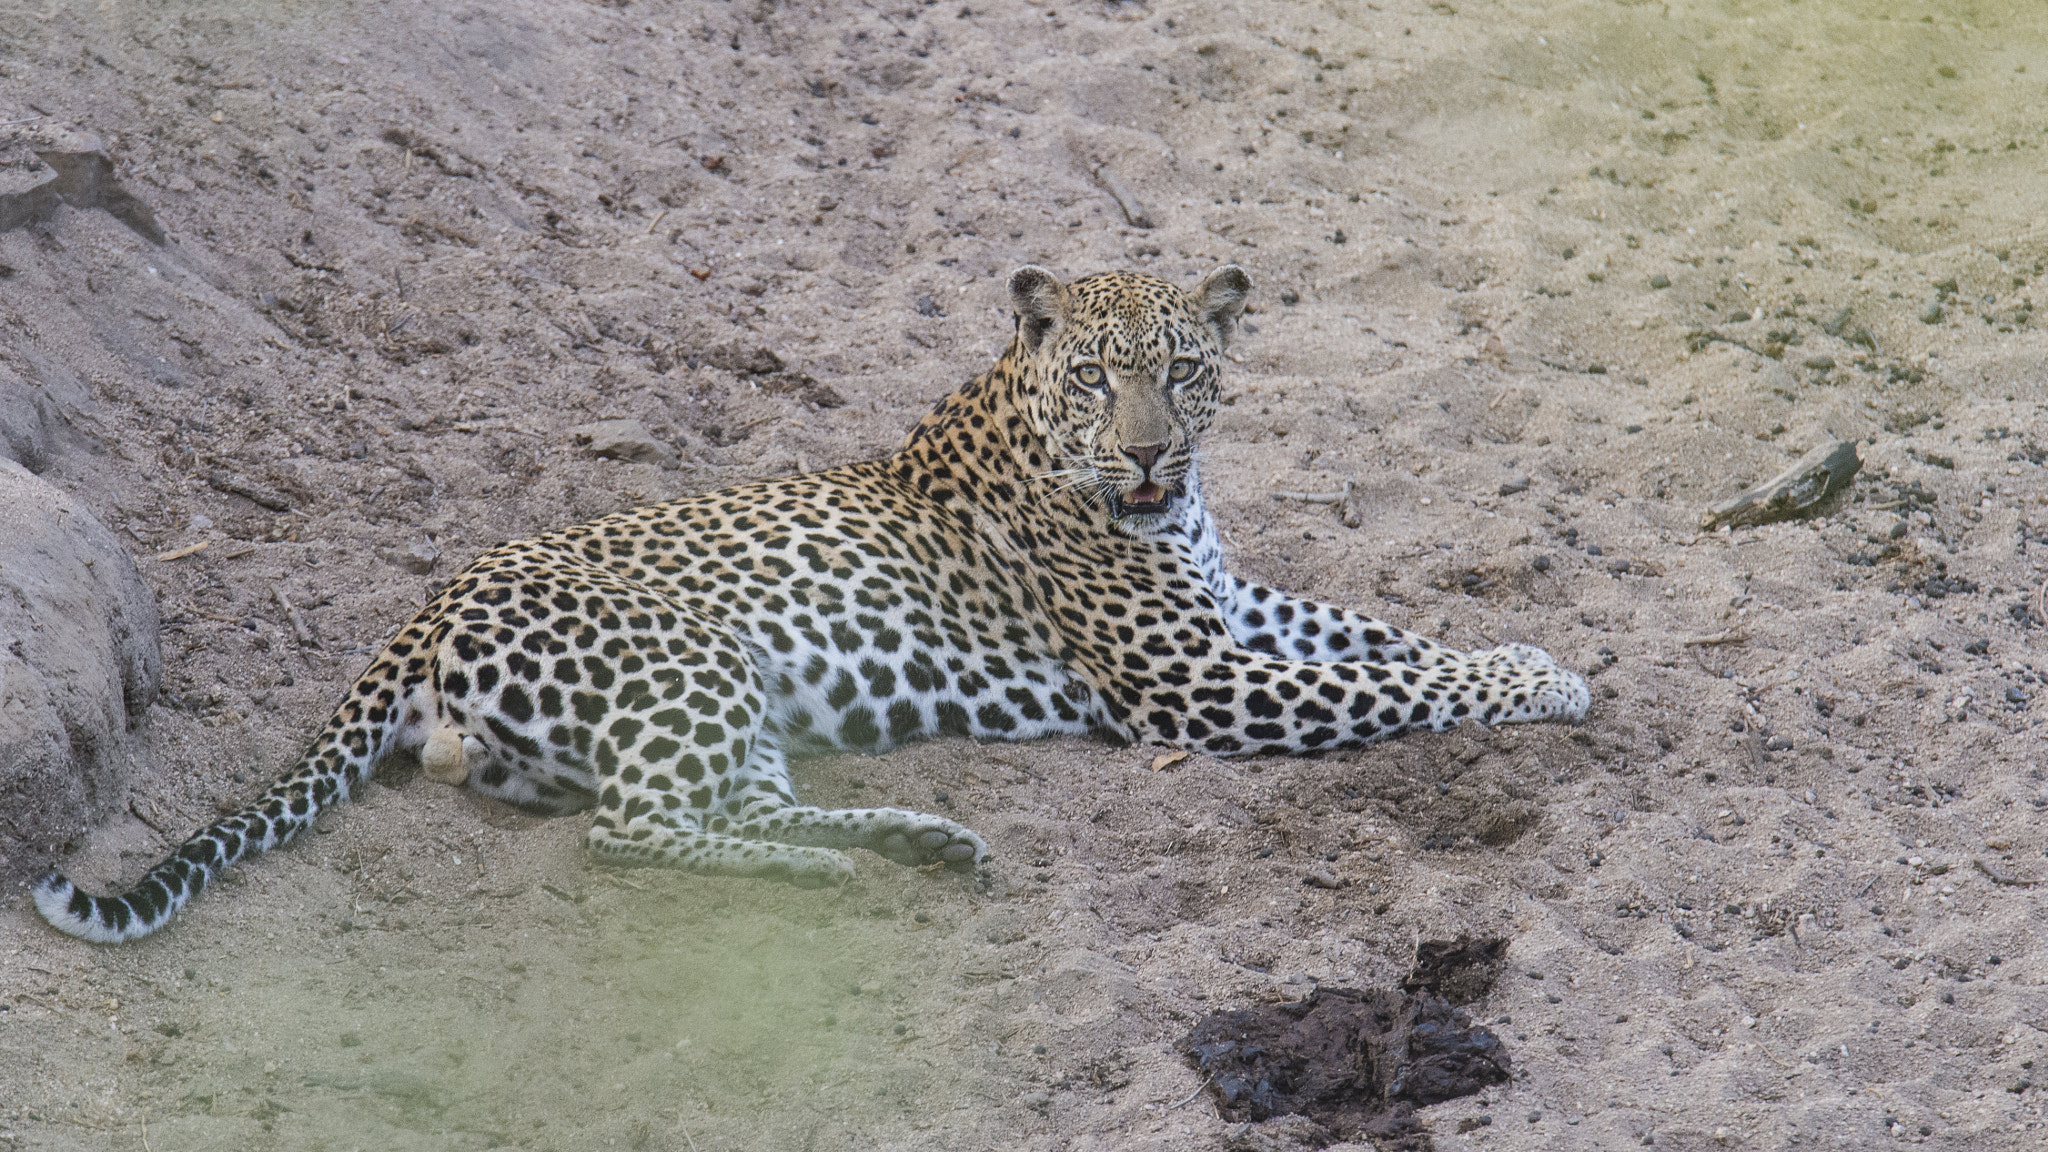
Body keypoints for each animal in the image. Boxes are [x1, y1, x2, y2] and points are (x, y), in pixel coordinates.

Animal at [36, 264, 1589, 943]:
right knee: (630, 832)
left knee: (726, 806)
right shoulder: (1195, 680)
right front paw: (1540, 682)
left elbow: (1376, 634)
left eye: (1186, 370)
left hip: (725, 710)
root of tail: (421, 611)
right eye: (1097, 376)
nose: (1152, 452)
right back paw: (852, 870)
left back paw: (917, 843)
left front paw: (1527, 646)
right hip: (689, 664)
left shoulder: (1228, 612)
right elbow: (1385, 683)